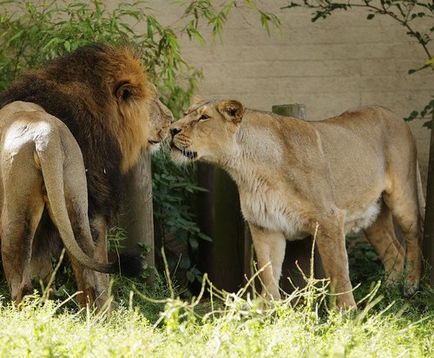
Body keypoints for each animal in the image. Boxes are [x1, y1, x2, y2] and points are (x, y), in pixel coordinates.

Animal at [172, 97, 424, 308]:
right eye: (185, 114)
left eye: (203, 118)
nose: (172, 128)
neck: (248, 169)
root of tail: (393, 114)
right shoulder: (265, 225)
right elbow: (268, 272)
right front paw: (269, 311)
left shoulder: (329, 218)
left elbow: (338, 270)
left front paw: (347, 313)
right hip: (371, 216)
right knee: (394, 252)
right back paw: (385, 293)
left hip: (403, 198)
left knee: (413, 240)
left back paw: (411, 286)